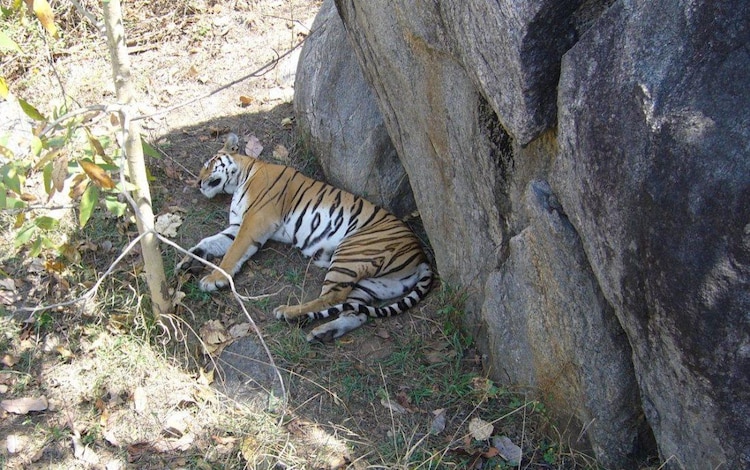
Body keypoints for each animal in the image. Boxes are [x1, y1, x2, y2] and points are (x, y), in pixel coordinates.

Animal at [176, 133, 433, 342]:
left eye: (209, 165)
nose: (197, 183)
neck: (242, 178)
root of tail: (421, 256)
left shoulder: (255, 221)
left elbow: (232, 253)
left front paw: (214, 279)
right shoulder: (238, 225)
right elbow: (209, 243)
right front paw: (187, 262)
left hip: (351, 251)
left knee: (333, 297)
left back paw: (288, 313)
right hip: (372, 285)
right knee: (354, 311)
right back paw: (323, 332)